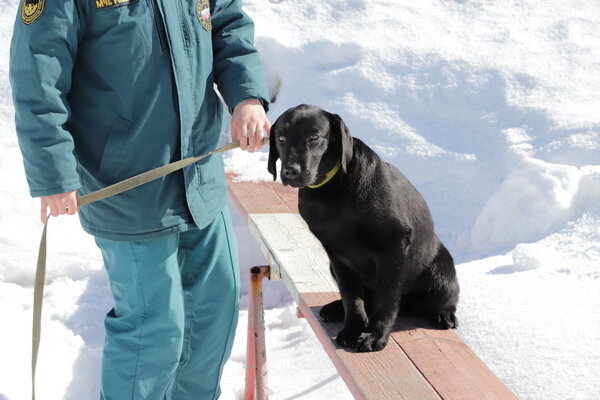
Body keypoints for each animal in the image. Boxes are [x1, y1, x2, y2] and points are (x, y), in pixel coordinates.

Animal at [268, 104, 460, 354]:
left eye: (313, 137)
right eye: (281, 138)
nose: (290, 171)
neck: (333, 190)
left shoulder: (393, 247)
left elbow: (385, 298)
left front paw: (375, 335)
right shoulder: (337, 256)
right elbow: (352, 297)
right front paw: (353, 329)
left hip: (440, 278)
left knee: (445, 298)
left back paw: (444, 314)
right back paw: (336, 308)